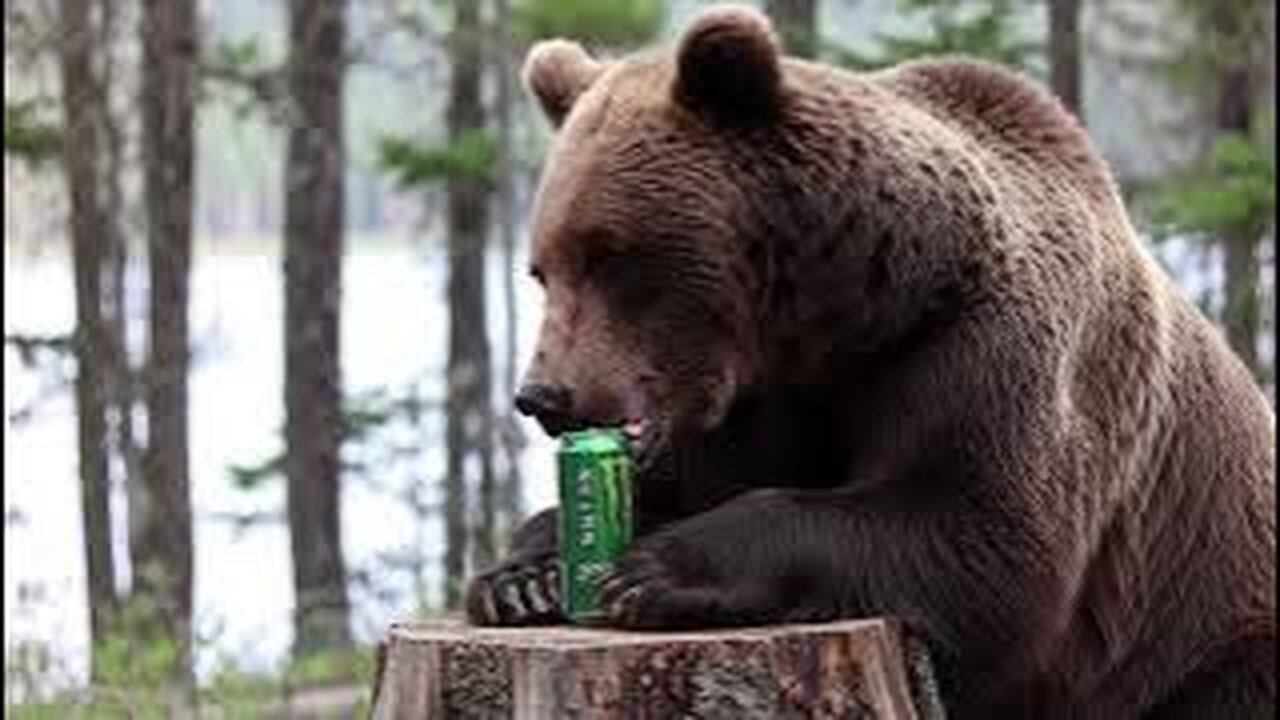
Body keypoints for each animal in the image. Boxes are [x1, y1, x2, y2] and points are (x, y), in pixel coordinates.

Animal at [464, 5, 1277, 718]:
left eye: (610, 256)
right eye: (542, 269)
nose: (544, 395)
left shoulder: (978, 349)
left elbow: (984, 537)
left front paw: (657, 569)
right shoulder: (757, 404)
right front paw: (525, 575)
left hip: (1207, 638)